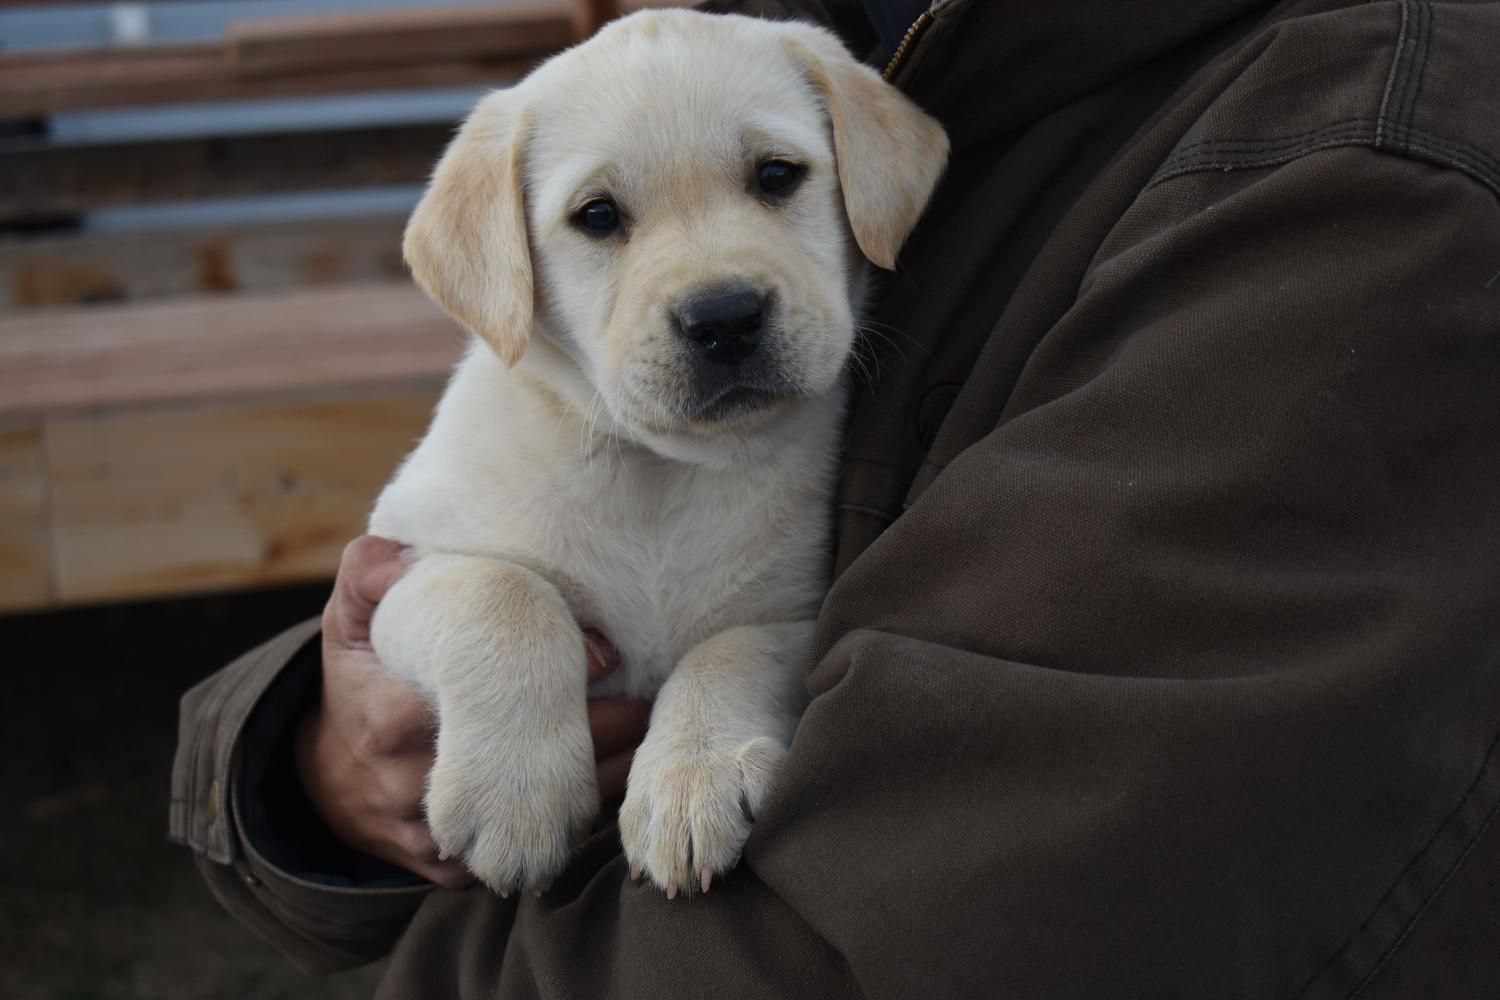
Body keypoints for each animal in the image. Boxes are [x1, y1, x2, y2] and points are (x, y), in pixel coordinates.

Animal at [369, 7, 942, 899]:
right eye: (598, 216)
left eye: (777, 175)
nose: (725, 317)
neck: (663, 471)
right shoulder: (402, 564)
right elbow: (504, 593)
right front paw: (513, 795)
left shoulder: (796, 611)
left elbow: (728, 649)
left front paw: (691, 780)